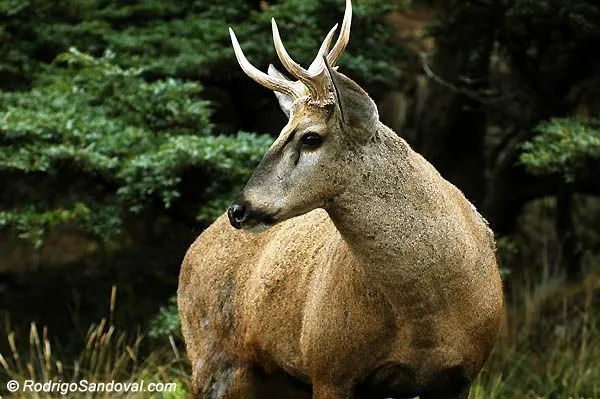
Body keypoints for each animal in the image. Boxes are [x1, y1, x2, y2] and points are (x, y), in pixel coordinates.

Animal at [177, 1, 502, 398]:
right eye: (282, 131)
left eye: (310, 138)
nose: (238, 210)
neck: (425, 314)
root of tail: (193, 249)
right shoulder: (330, 368)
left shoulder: (462, 374)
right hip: (210, 360)